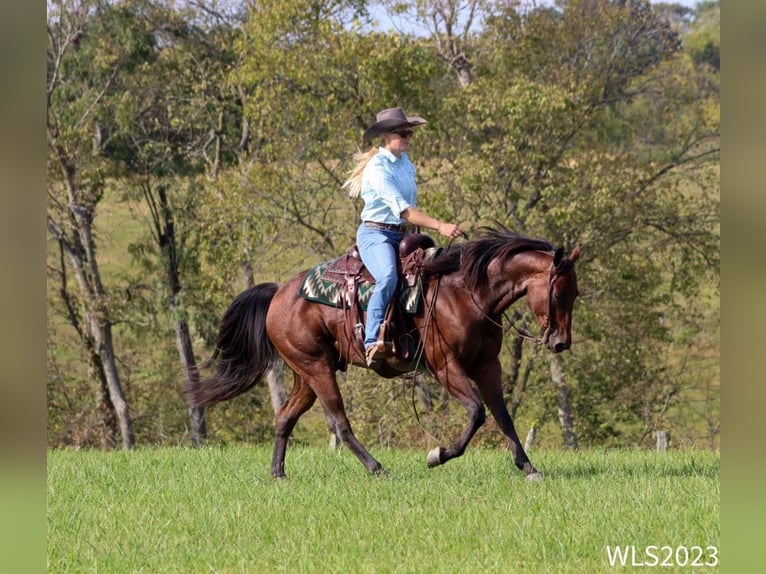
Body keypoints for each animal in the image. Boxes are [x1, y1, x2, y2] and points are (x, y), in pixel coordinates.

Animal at [188, 228, 584, 482]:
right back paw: (377, 468)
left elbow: (503, 417)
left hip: (305, 372)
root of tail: (279, 292)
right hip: (318, 370)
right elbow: (476, 413)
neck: (466, 292)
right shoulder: (445, 367)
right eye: (559, 294)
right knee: (340, 424)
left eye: (575, 294)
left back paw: (278, 474)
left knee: (285, 416)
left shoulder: (488, 366)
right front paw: (438, 455)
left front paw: (529, 468)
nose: (561, 343)